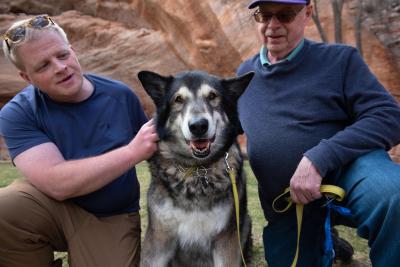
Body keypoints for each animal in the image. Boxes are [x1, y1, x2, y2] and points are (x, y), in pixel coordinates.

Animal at [138, 70, 253, 266]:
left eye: (213, 96)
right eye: (178, 99)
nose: (198, 125)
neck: (197, 170)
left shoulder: (226, 241)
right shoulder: (158, 239)